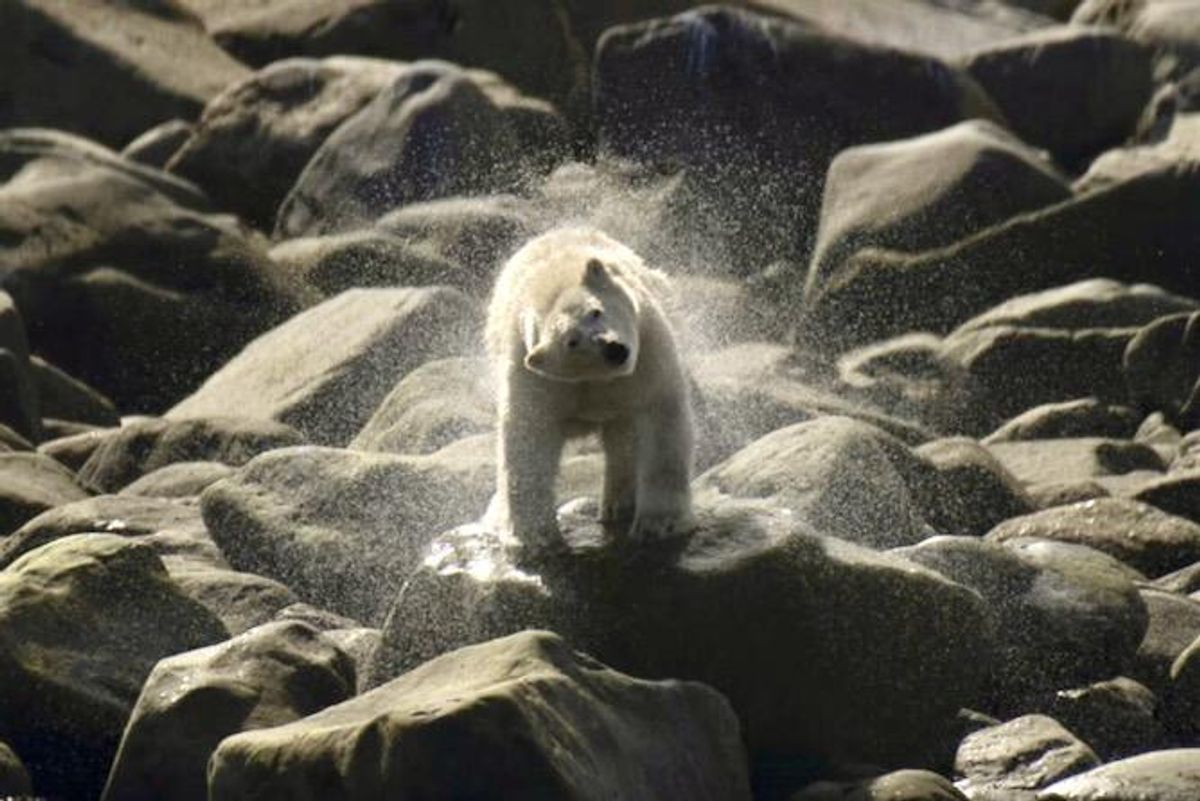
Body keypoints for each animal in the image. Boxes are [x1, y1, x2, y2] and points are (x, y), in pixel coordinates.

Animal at [485, 226, 694, 552]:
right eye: (571, 341)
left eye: (595, 311)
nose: (614, 349)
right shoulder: (534, 375)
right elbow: (529, 436)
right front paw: (535, 537)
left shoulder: (647, 352)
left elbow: (660, 417)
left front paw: (658, 524)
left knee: (624, 438)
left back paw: (619, 504)